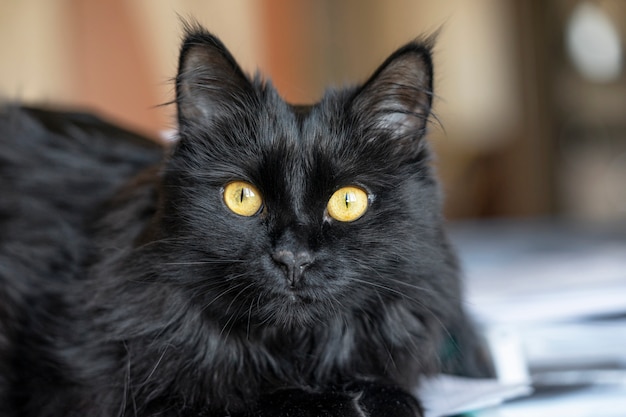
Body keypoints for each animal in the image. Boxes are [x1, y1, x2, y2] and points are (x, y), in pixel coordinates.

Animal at [0, 24, 488, 414]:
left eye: (347, 202)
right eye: (241, 197)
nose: (293, 258)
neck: (295, 353)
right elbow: (243, 398)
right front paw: (332, 401)